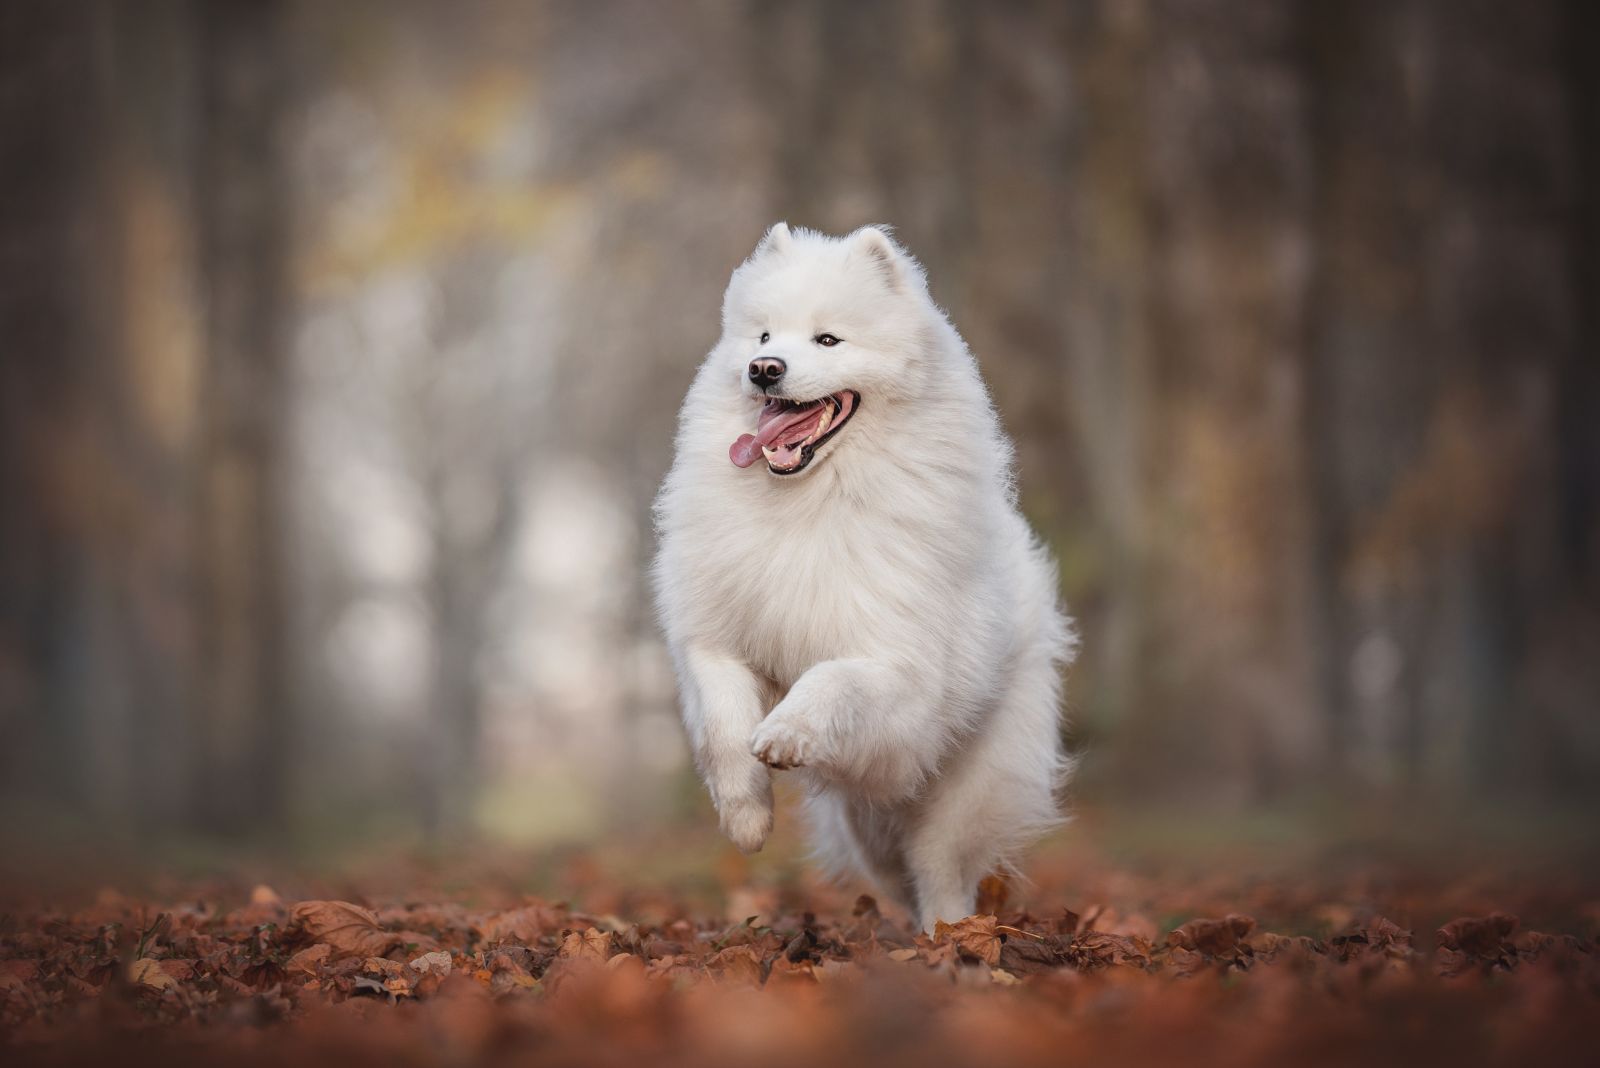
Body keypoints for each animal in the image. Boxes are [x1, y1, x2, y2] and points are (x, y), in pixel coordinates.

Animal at [649, 223, 1075, 927]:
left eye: (828, 340)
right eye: (763, 336)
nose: (764, 369)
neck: (808, 501)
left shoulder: (897, 668)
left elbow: (832, 681)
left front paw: (787, 731)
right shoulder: (713, 639)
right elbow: (723, 721)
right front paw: (746, 818)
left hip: (960, 792)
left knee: (942, 870)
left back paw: (948, 936)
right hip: (868, 823)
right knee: (896, 870)